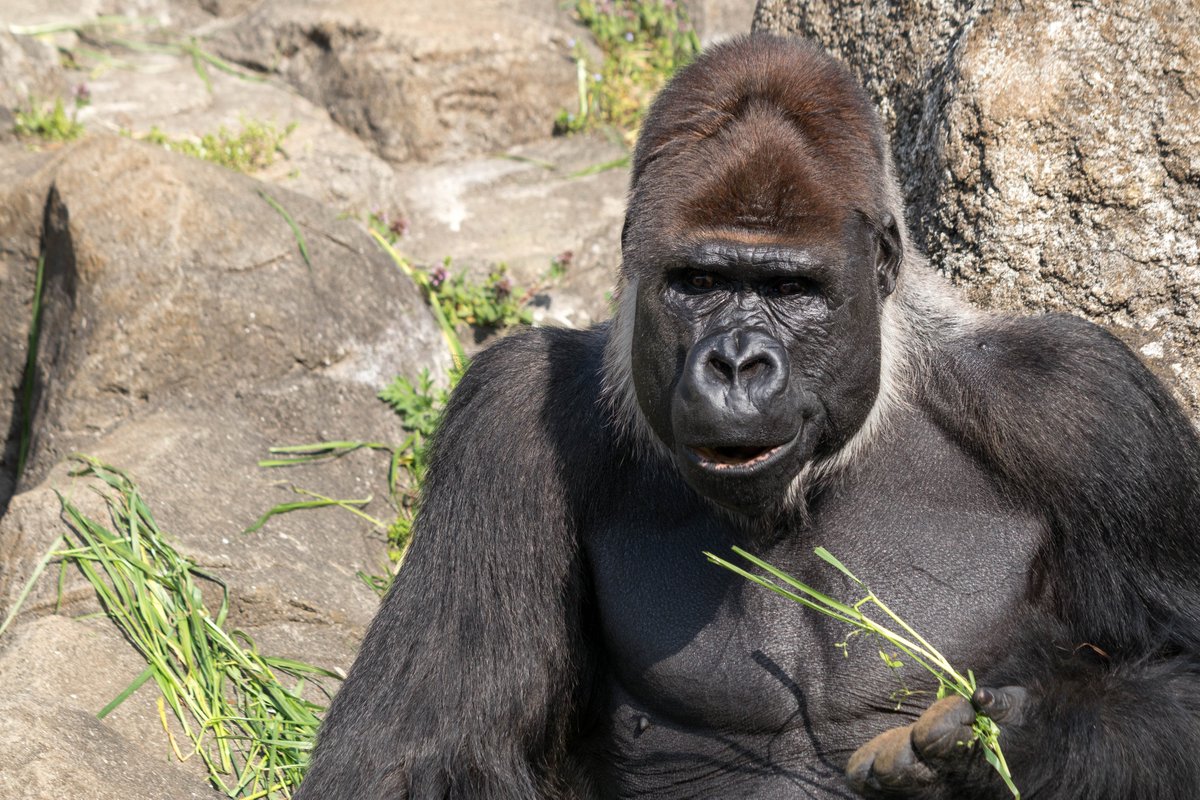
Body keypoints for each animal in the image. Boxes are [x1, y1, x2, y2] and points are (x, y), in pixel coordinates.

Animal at [295, 35, 1200, 800]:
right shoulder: (507, 420)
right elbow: (413, 752)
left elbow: (1183, 665)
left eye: (790, 289)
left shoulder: (1082, 406)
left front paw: (1013, 745)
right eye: (698, 281)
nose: (736, 364)